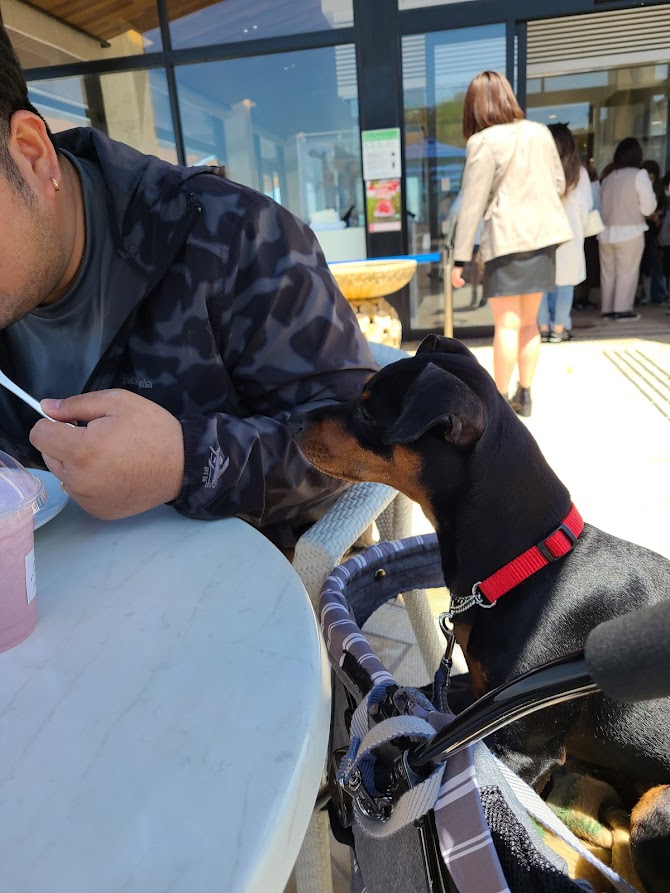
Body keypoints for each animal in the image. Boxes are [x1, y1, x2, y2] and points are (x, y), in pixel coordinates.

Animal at [292, 334, 670, 892]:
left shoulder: (520, 749)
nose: (293, 421)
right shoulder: (480, 696)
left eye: (367, 408)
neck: (526, 566)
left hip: (654, 807)